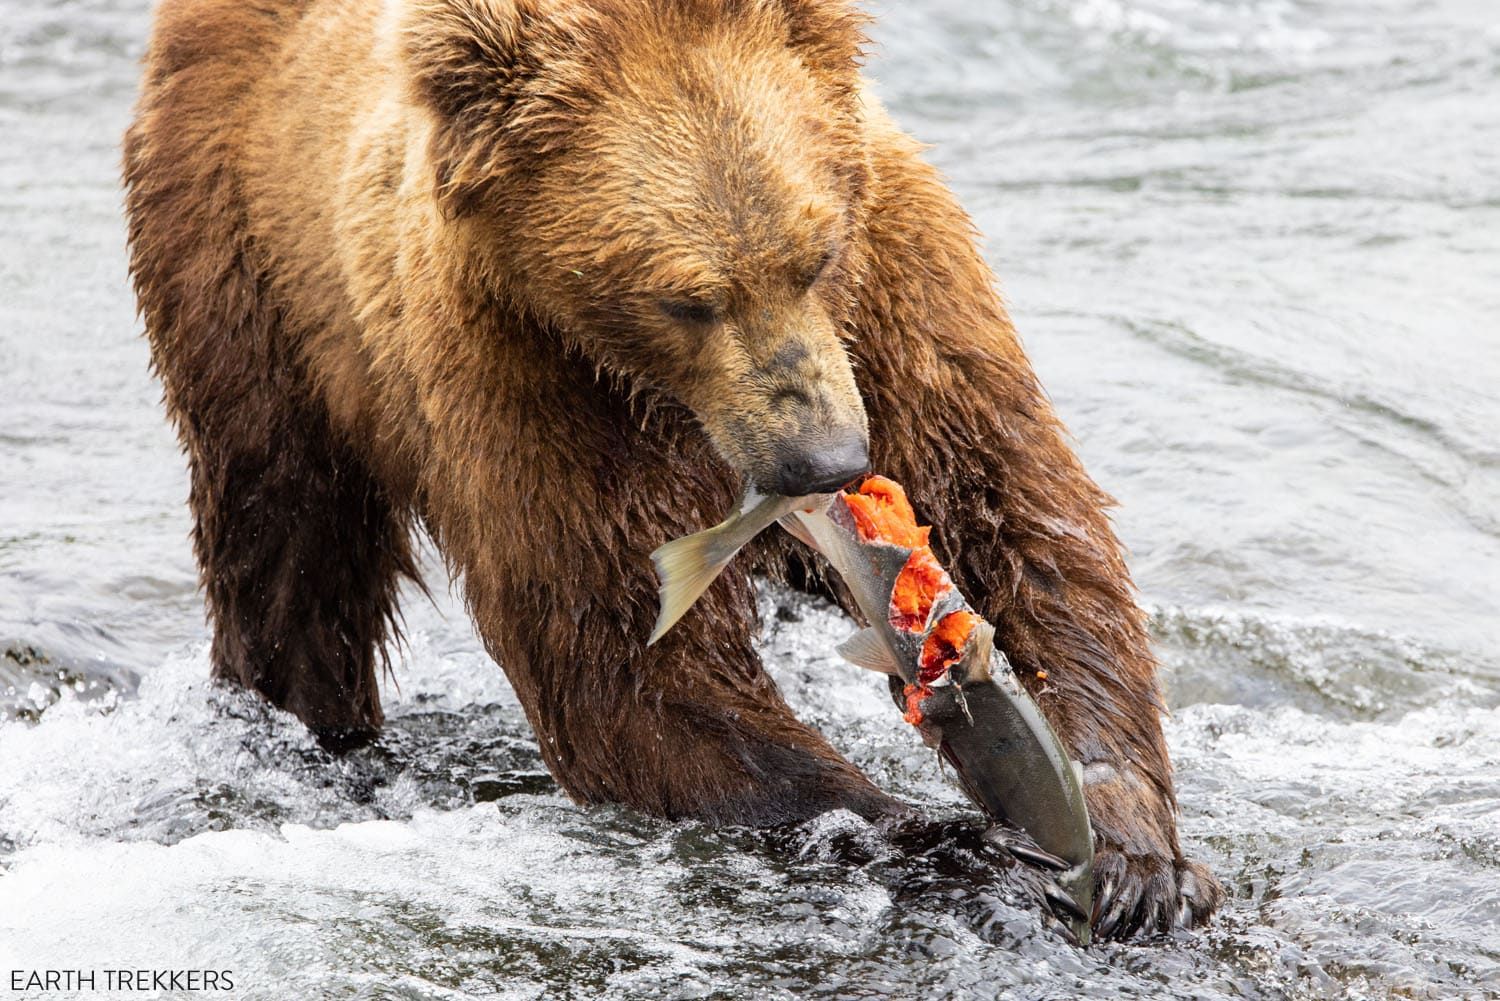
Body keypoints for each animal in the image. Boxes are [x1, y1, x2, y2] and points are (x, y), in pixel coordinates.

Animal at [123, 0, 1224, 942]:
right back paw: (309, 723)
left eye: (816, 253)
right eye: (687, 299)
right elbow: (625, 658)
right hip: (243, 262)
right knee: (287, 527)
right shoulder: (525, 376)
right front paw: (934, 832)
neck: (664, 398)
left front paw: (1135, 852)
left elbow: (1018, 516)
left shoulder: (899, 301)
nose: (824, 458)